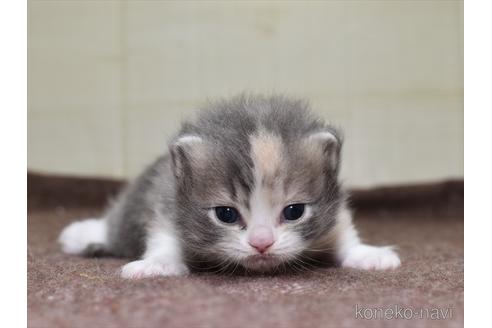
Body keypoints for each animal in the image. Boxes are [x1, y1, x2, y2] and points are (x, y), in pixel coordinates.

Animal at [59, 94, 402, 276]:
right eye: (226, 214)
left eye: (294, 211)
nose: (262, 243)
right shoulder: (166, 200)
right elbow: (164, 238)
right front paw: (154, 264)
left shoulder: (334, 210)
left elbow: (343, 232)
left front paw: (367, 254)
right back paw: (80, 234)